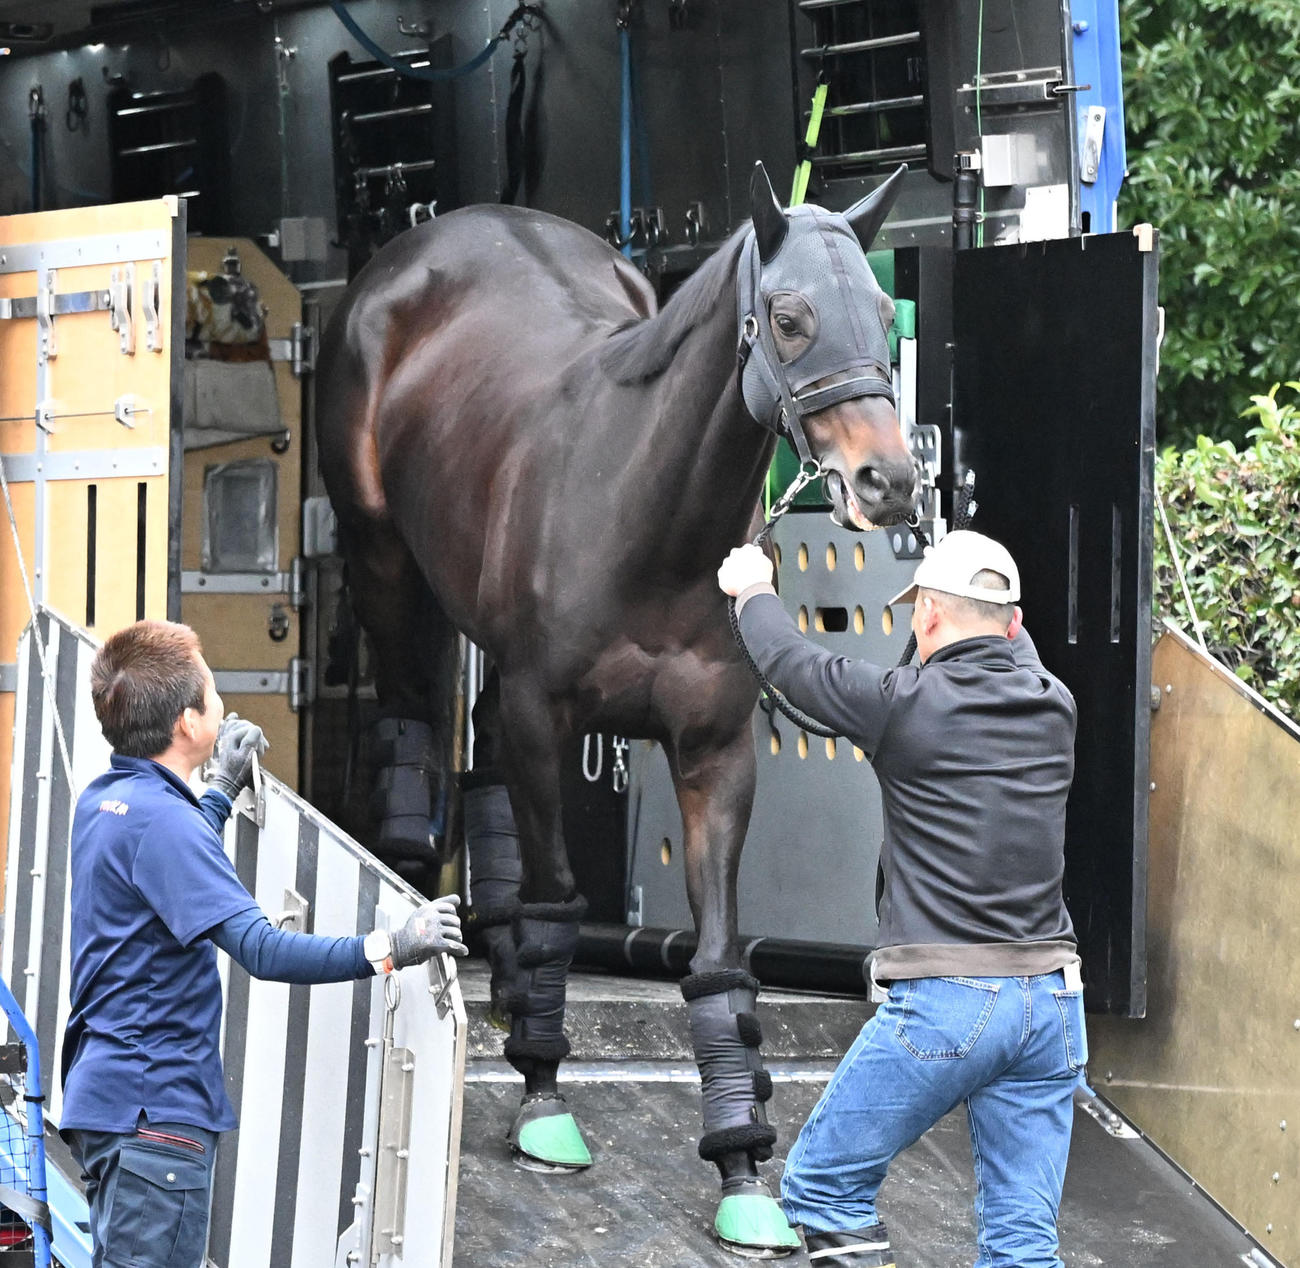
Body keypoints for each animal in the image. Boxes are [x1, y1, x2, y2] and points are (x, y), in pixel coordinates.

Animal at [316, 162, 916, 1255]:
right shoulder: (540, 715)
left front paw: (741, 1163)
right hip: (385, 566)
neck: (648, 515)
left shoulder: (713, 748)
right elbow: (558, 900)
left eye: (884, 314)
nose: (887, 481)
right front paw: (545, 1097)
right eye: (789, 315)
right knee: (412, 727)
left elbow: (717, 964)